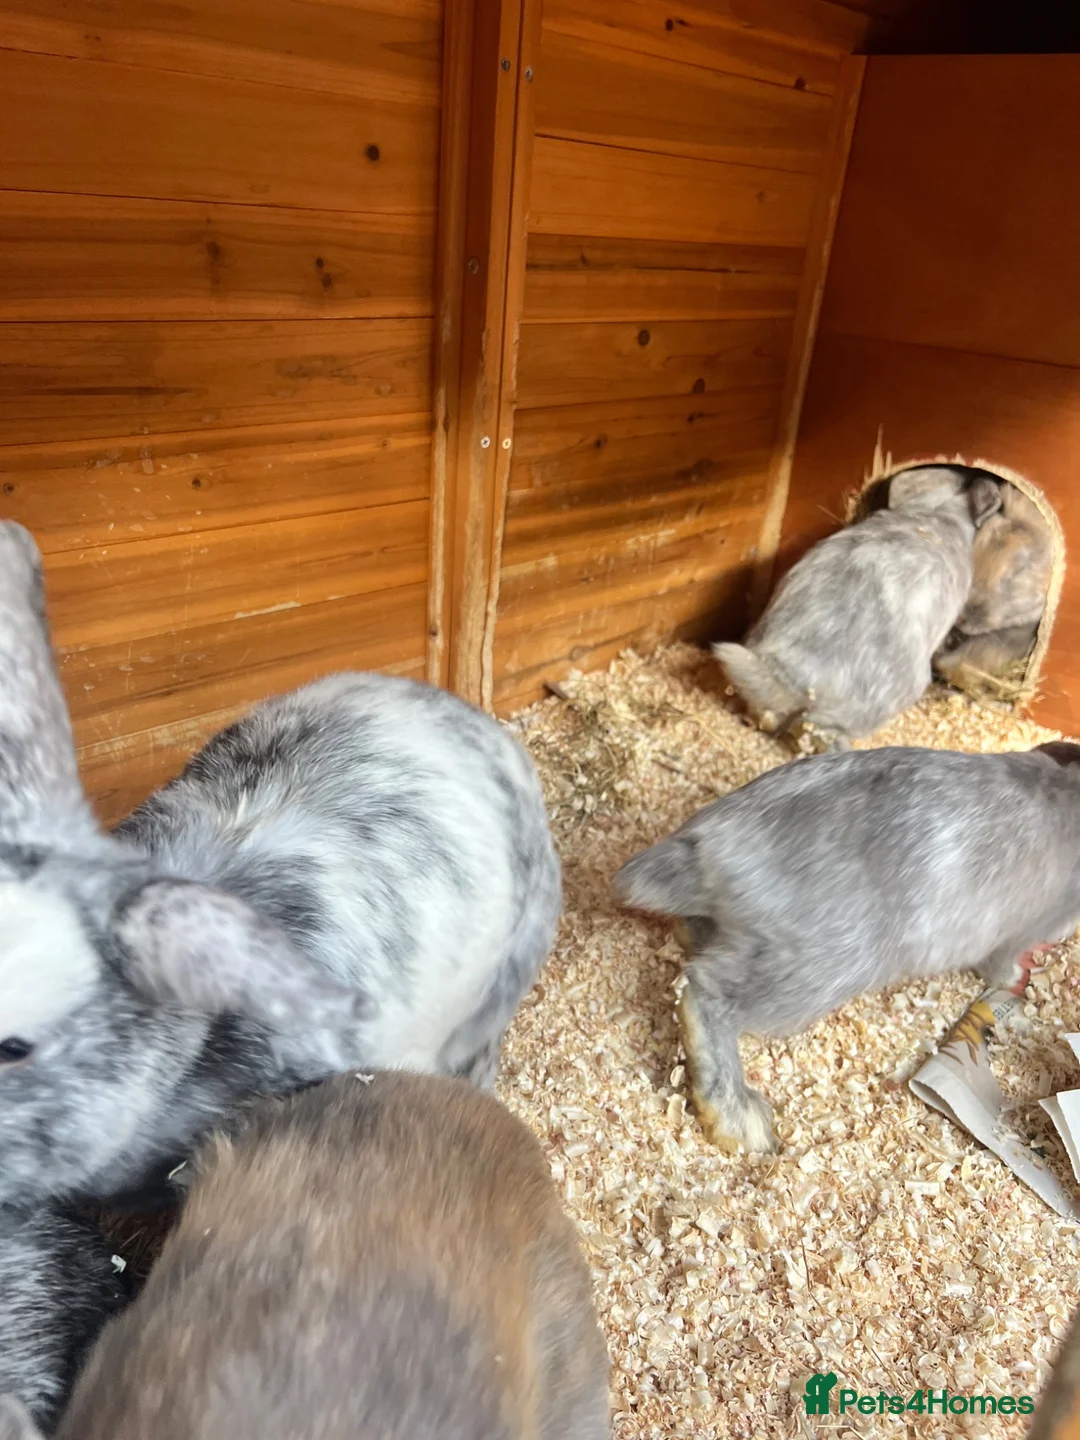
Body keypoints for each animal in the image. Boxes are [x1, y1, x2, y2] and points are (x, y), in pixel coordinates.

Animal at [614, 742, 1080, 1153]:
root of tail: (705, 854)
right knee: (703, 994)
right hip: (815, 973)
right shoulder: (1021, 933)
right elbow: (1002, 964)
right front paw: (1019, 978)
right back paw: (742, 1121)